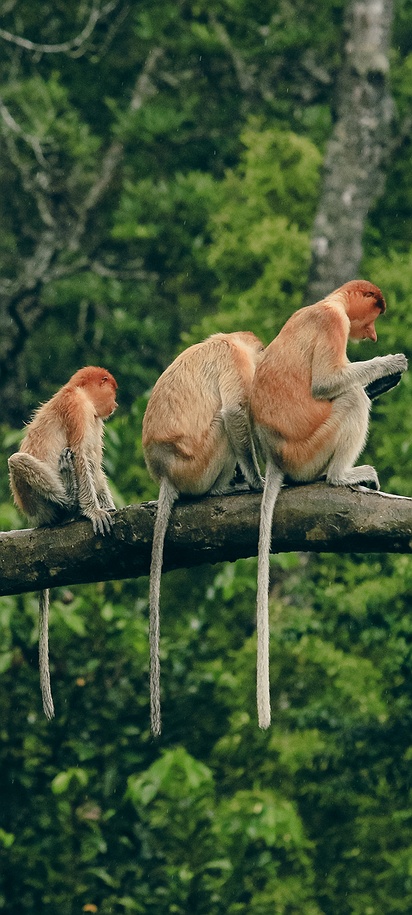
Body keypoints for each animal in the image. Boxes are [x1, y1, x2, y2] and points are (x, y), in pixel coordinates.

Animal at [8, 366, 118, 720]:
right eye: (111, 388)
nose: (114, 403)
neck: (78, 392)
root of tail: (37, 520)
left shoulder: (94, 420)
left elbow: (93, 463)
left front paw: (109, 507)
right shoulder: (78, 409)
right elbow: (83, 455)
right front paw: (94, 511)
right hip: (33, 500)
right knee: (17, 460)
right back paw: (69, 504)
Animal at [142, 331, 265, 736]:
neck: (228, 340)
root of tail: (166, 472)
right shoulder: (233, 360)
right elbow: (235, 412)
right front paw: (256, 482)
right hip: (201, 461)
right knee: (223, 425)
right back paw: (224, 489)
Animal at [249, 280, 408, 730]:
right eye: (373, 317)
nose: (373, 336)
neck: (328, 301)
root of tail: (277, 458)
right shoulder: (333, 323)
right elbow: (326, 383)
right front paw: (391, 363)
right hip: (312, 449)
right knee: (351, 397)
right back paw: (344, 476)